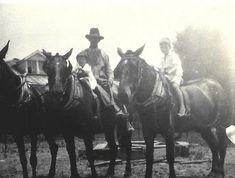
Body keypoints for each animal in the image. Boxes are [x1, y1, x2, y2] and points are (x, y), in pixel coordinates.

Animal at [0, 40, 58, 178]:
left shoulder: (33, 132)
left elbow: (33, 159)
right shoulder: (17, 133)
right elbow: (23, 159)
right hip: (47, 129)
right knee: (54, 147)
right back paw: (51, 173)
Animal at [42, 49, 132, 178]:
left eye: (65, 69)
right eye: (48, 69)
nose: (57, 92)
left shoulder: (87, 132)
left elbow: (90, 153)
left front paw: (94, 174)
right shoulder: (67, 133)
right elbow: (71, 153)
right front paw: (74, 174)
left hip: (124, 125)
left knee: (128, 146)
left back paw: (127, 171)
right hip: (109, 128)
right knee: (114, 147)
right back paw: (110, 171)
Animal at [114, 46, 229, 178]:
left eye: (135, 68)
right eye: (118, 69)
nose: (122, 95)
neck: (156, 97)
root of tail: (218, 86)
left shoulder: (169, 132)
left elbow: (170, 157)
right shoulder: (148, 132)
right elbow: (149, 156)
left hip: (220, 125)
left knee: (222, 146)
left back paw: (221, 171)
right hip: (204, 128)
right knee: (214, 146)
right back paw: (214, 171)